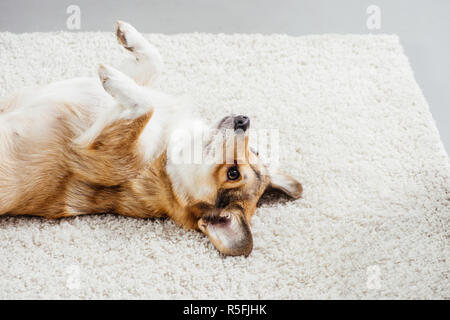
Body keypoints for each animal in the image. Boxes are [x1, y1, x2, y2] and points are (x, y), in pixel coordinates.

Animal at [0, 21, 302, 256]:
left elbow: (145, 106)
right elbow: (155, 63)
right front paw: (129, 36)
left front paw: (111, 76)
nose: (244, 121)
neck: (168, 149)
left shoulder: (99, 149)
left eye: (232, 174)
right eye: (257, 152)